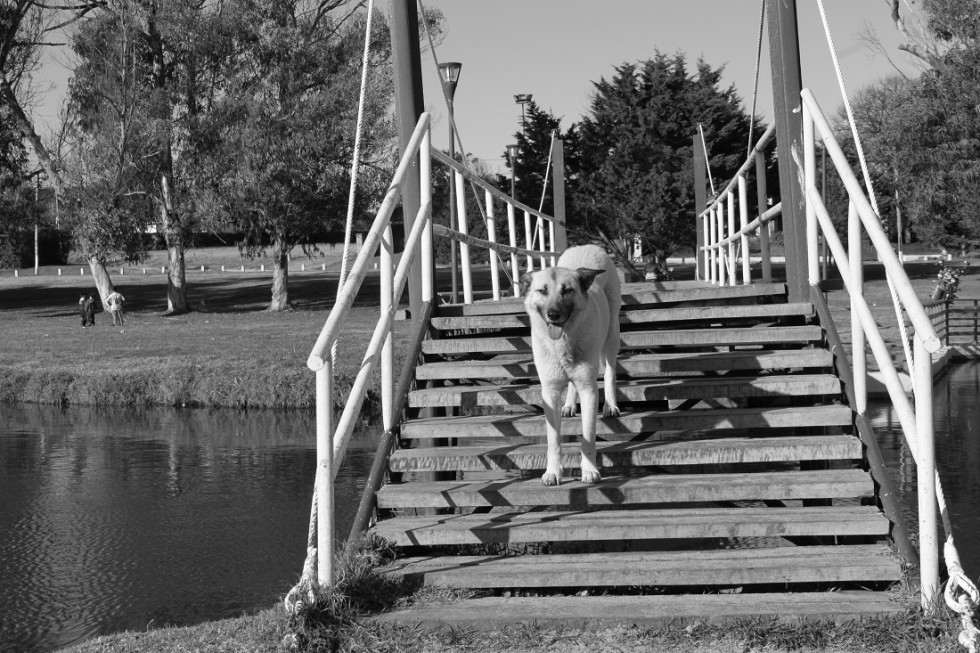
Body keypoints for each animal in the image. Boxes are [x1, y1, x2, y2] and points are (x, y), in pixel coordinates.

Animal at [520, 244, 620, 484]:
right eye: (542, 291)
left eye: (567, 291)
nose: (553, 314)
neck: (563, 343)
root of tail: (589, 246)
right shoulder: (550, 392)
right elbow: (553, 439)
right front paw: (552, 472)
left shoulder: (589, 389)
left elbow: (589, 434)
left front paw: (590, 470)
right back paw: (569, 405)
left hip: (612, 335)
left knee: (610, 372)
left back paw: (611, 405)